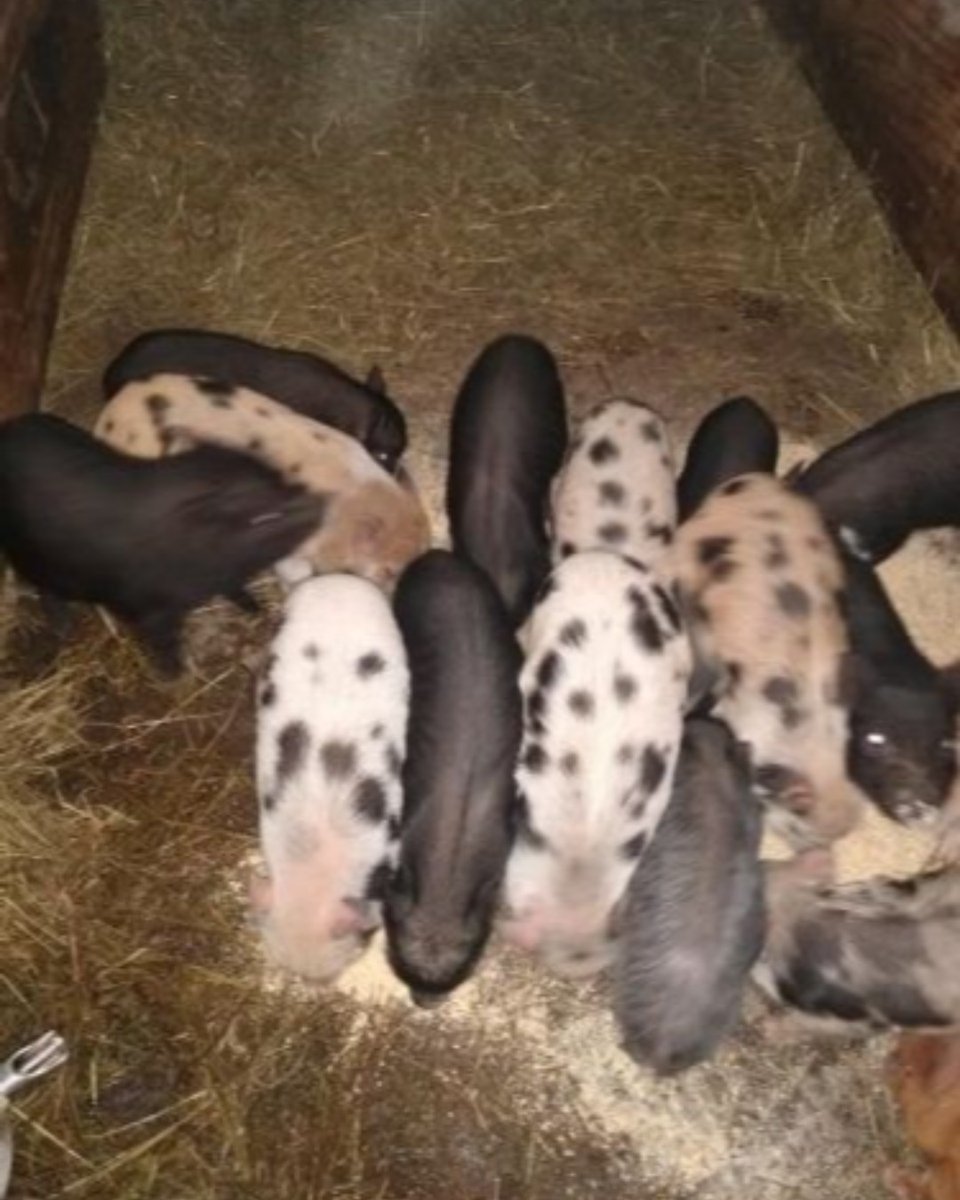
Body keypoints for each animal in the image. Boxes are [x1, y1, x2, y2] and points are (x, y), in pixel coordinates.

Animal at [0, 414, 322, 674]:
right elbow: (163, 639)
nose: (318, 499)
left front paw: (256, 609)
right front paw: (175, 675)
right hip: (32, 555)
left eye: (275, 475)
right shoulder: (149, 609)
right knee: (44, 588)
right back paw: (63, 628)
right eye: (258, 516)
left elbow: (234, 588)